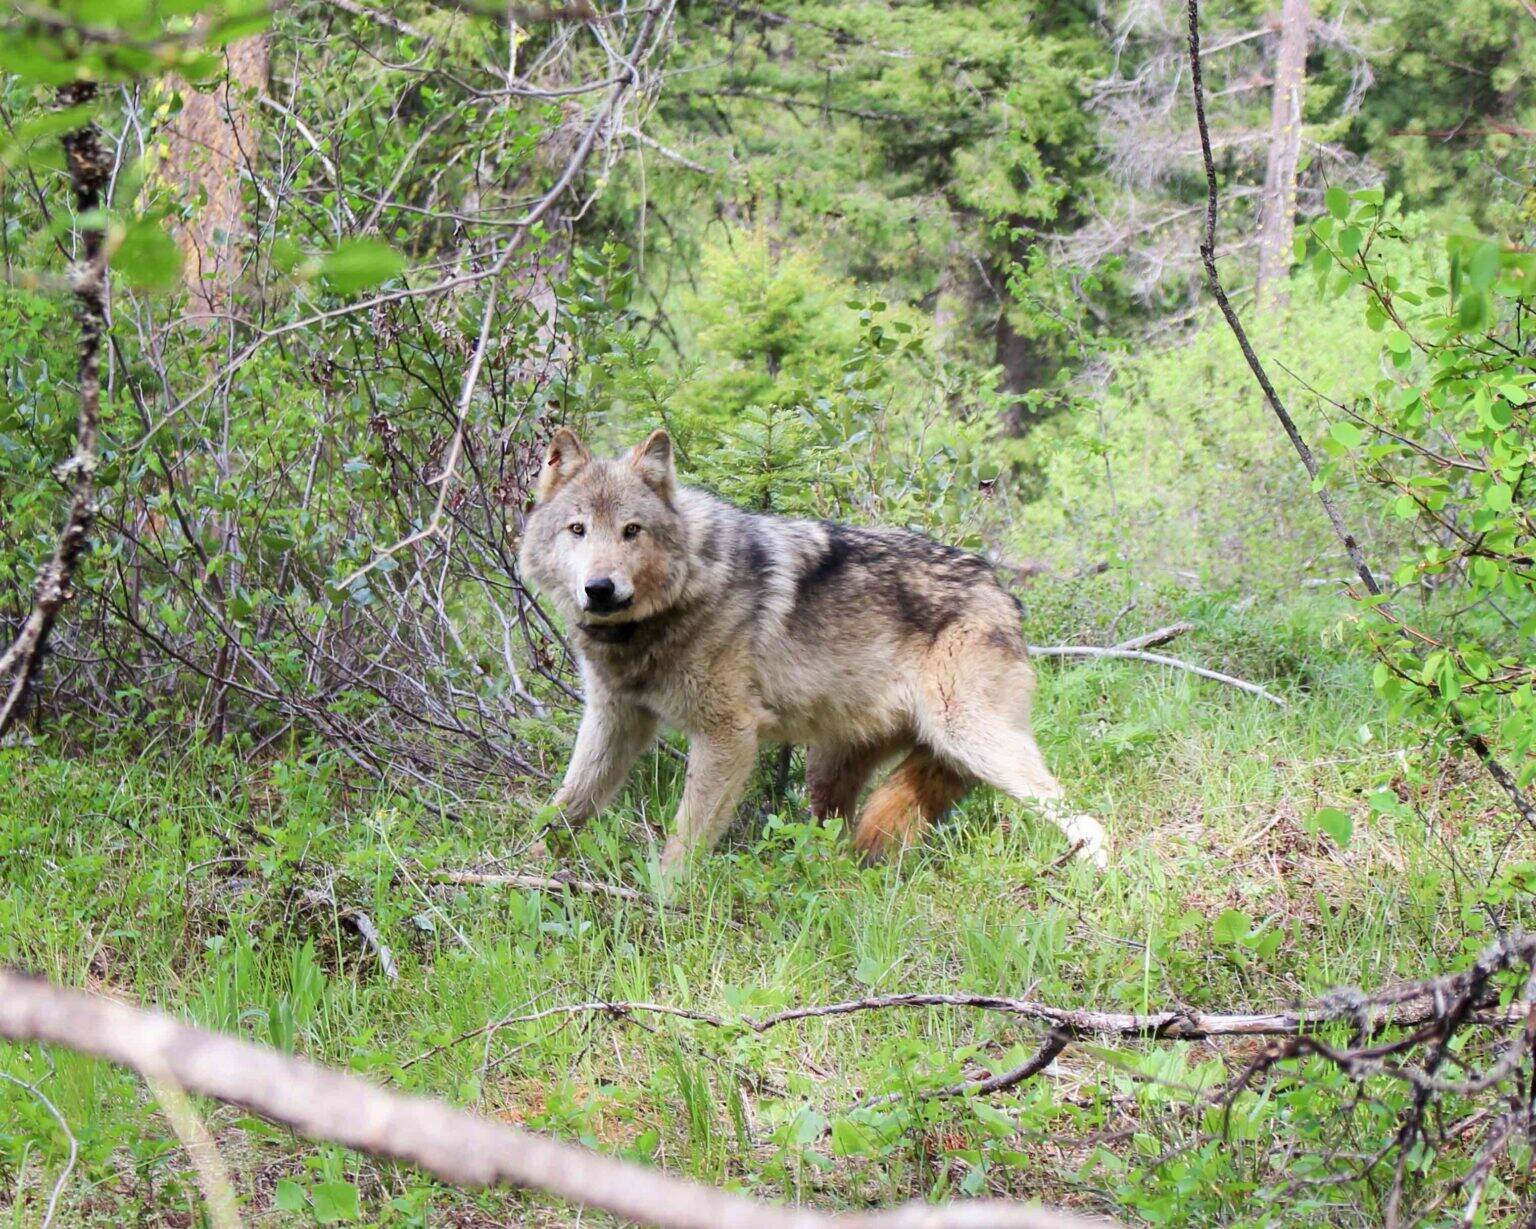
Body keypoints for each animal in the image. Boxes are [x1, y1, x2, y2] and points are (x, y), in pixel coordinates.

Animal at [517, 427, 1107, 873]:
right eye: (577, 529)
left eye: (631, 531)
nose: (600, 588)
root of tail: (1002, 591)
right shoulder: (614, 720)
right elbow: (563, 806)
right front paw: (521, 870)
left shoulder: (728, 735)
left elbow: (684, 843)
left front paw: (664, 903)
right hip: (833, 770)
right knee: (837, 839)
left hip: (973, 741)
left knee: (1088, 820)